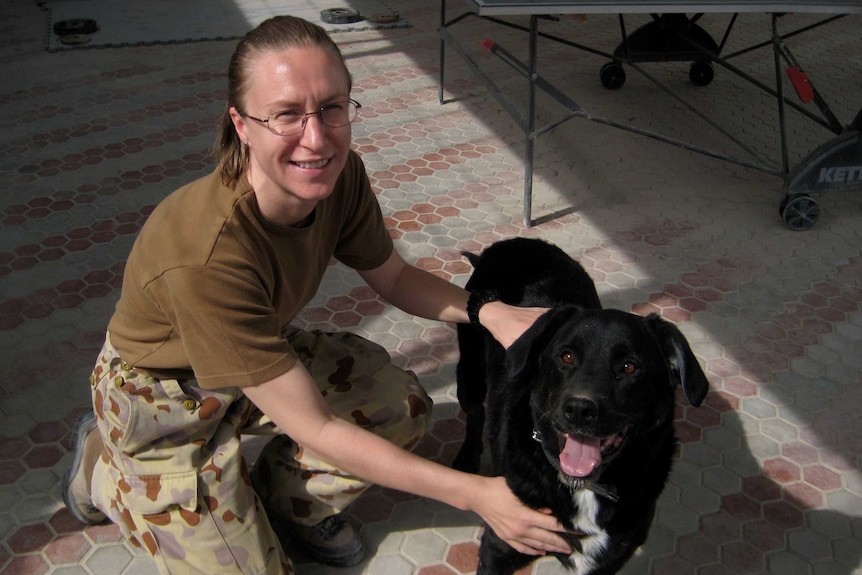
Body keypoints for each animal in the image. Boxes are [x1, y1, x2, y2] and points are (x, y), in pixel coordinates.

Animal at [452, 238, 708, 575]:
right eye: (567, 356)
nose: (579, 410)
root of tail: (513, 242)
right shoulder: (501, 543)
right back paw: (466, 458)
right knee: (475, 413)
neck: (584, 490)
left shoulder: (605, 561)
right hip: (469, 373)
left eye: (629, 367)